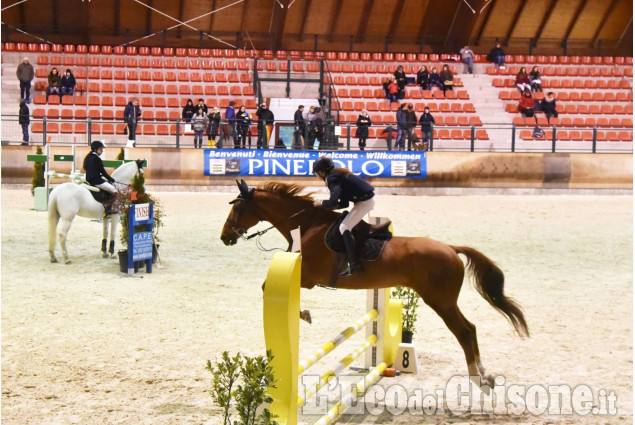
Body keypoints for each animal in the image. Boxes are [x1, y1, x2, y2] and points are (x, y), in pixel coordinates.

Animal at [221, 179, 528, 388]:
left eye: (238, 207)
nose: (225, 237)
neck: (306, 225)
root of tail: (451, 249)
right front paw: (306, 315)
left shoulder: (307, 278)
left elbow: (266, 288)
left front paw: (305, 315)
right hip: (444, 301)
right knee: (470, 329)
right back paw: (485, 375)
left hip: (440, 301)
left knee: (464, 331)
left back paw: (478, 378)